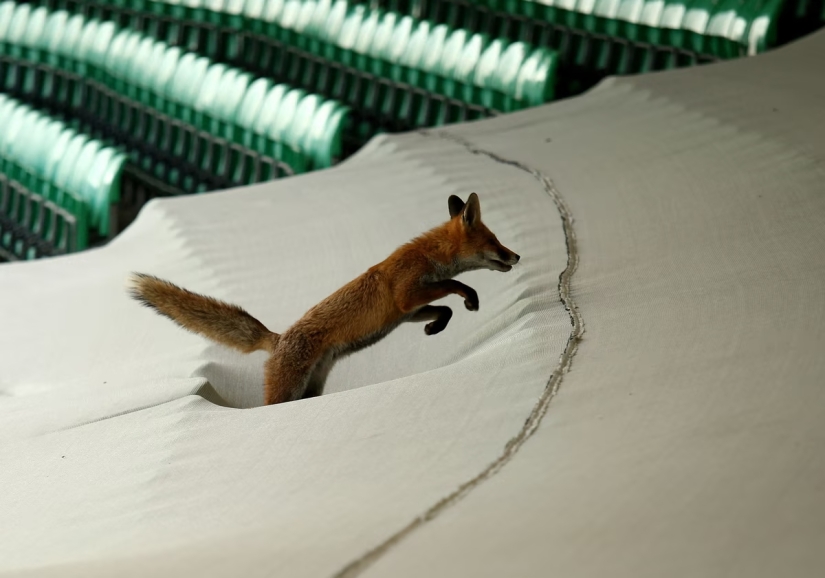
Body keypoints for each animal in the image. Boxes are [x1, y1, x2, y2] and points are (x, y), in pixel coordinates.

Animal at [129, 193, 519, 405]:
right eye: (495, 242)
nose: (516, 256)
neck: (427, 255)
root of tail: (276, 339)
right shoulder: (407, 295)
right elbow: (454, 285)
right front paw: (470, 298)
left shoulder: (407, 312)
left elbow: (442, 308)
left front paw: (436, 327)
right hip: (288, 391)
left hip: (312, 388)